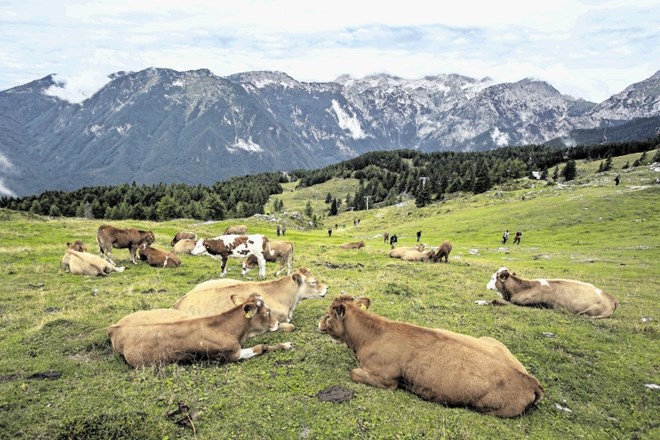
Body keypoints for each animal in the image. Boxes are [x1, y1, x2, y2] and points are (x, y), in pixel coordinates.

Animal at [107, 294, 292, 370]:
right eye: (267, 312)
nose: (277, 323)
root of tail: (113, 327)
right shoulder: (230, 354)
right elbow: (261, 347)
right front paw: (286, 345)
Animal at [318, 294, 540, 418]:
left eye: (328, 315)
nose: (318, 323)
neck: (369, 337)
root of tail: (532, 382)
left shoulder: (386, 379)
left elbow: (353, 372)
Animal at [474, 266, 620, 318]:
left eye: (492, 278)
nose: (486, 285)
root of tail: (612, 299)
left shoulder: (528, 305)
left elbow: (496, 300)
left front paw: (480, 302)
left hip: (589, 312)